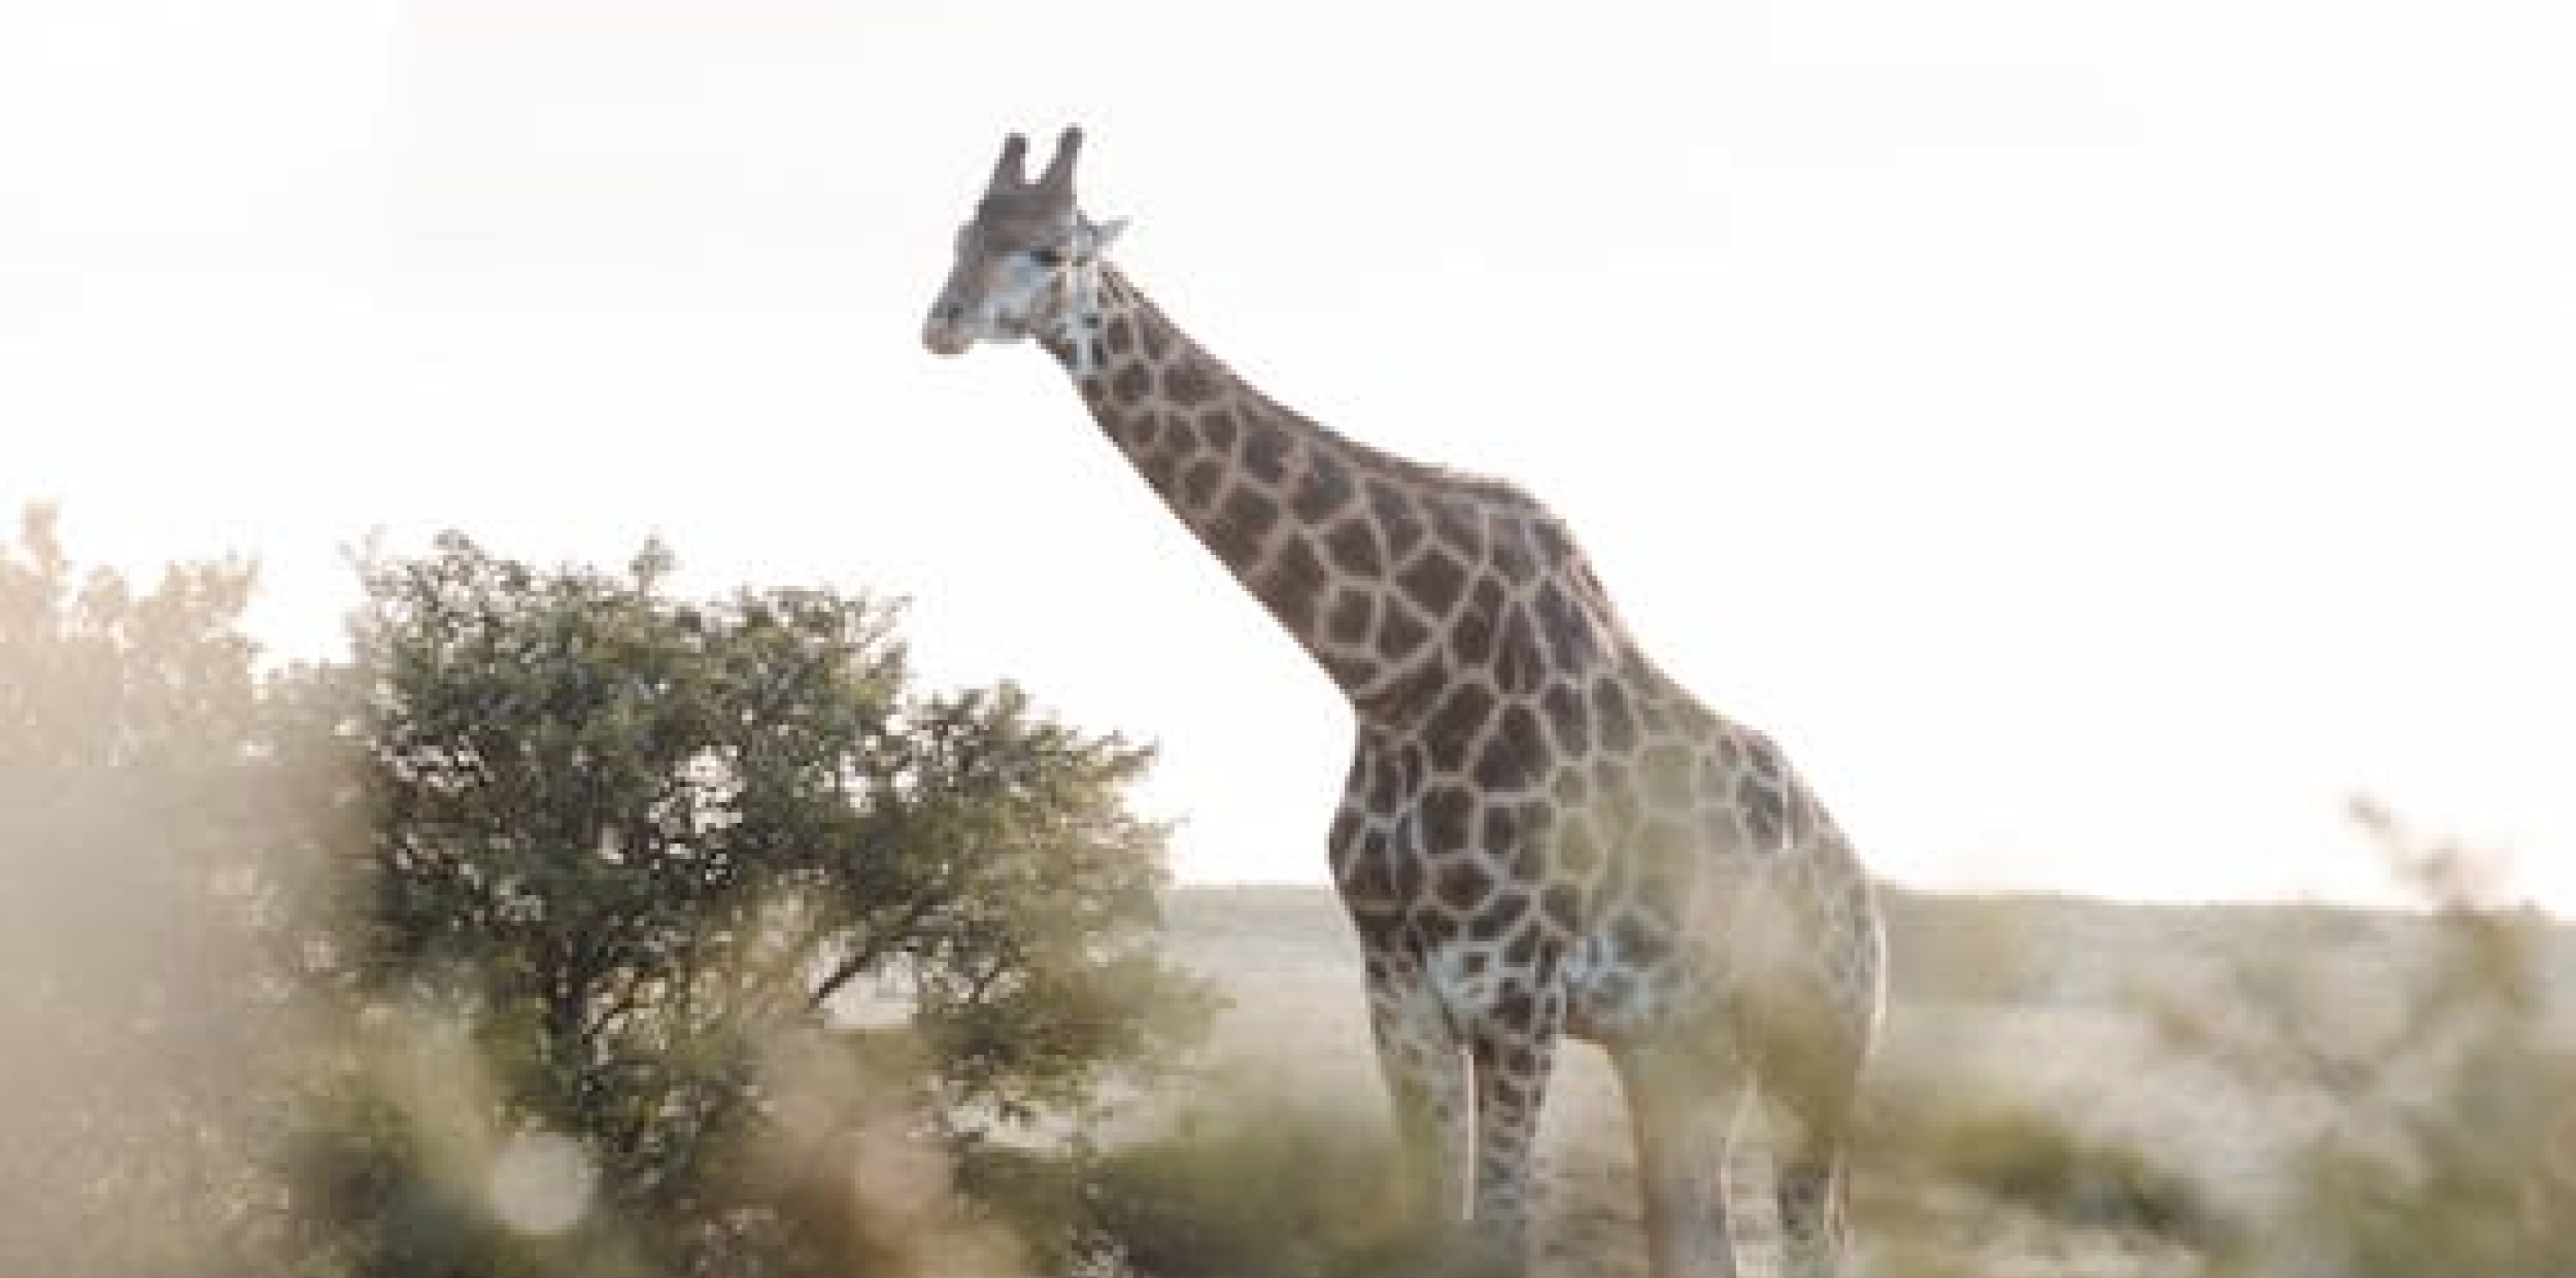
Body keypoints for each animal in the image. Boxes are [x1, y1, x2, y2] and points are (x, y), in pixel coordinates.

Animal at [921, 128, 1887, 1278]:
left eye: (1051, 251)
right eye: (961, 233)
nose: (944, 320)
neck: (1396, 677)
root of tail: (1865, 895)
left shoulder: (1518, 990)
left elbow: (1500, 1233)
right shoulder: (1399, 985)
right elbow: (1433, 1225)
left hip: (1818, 1040)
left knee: (1816, 1232)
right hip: (1679, 1052)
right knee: (1703, 1240)